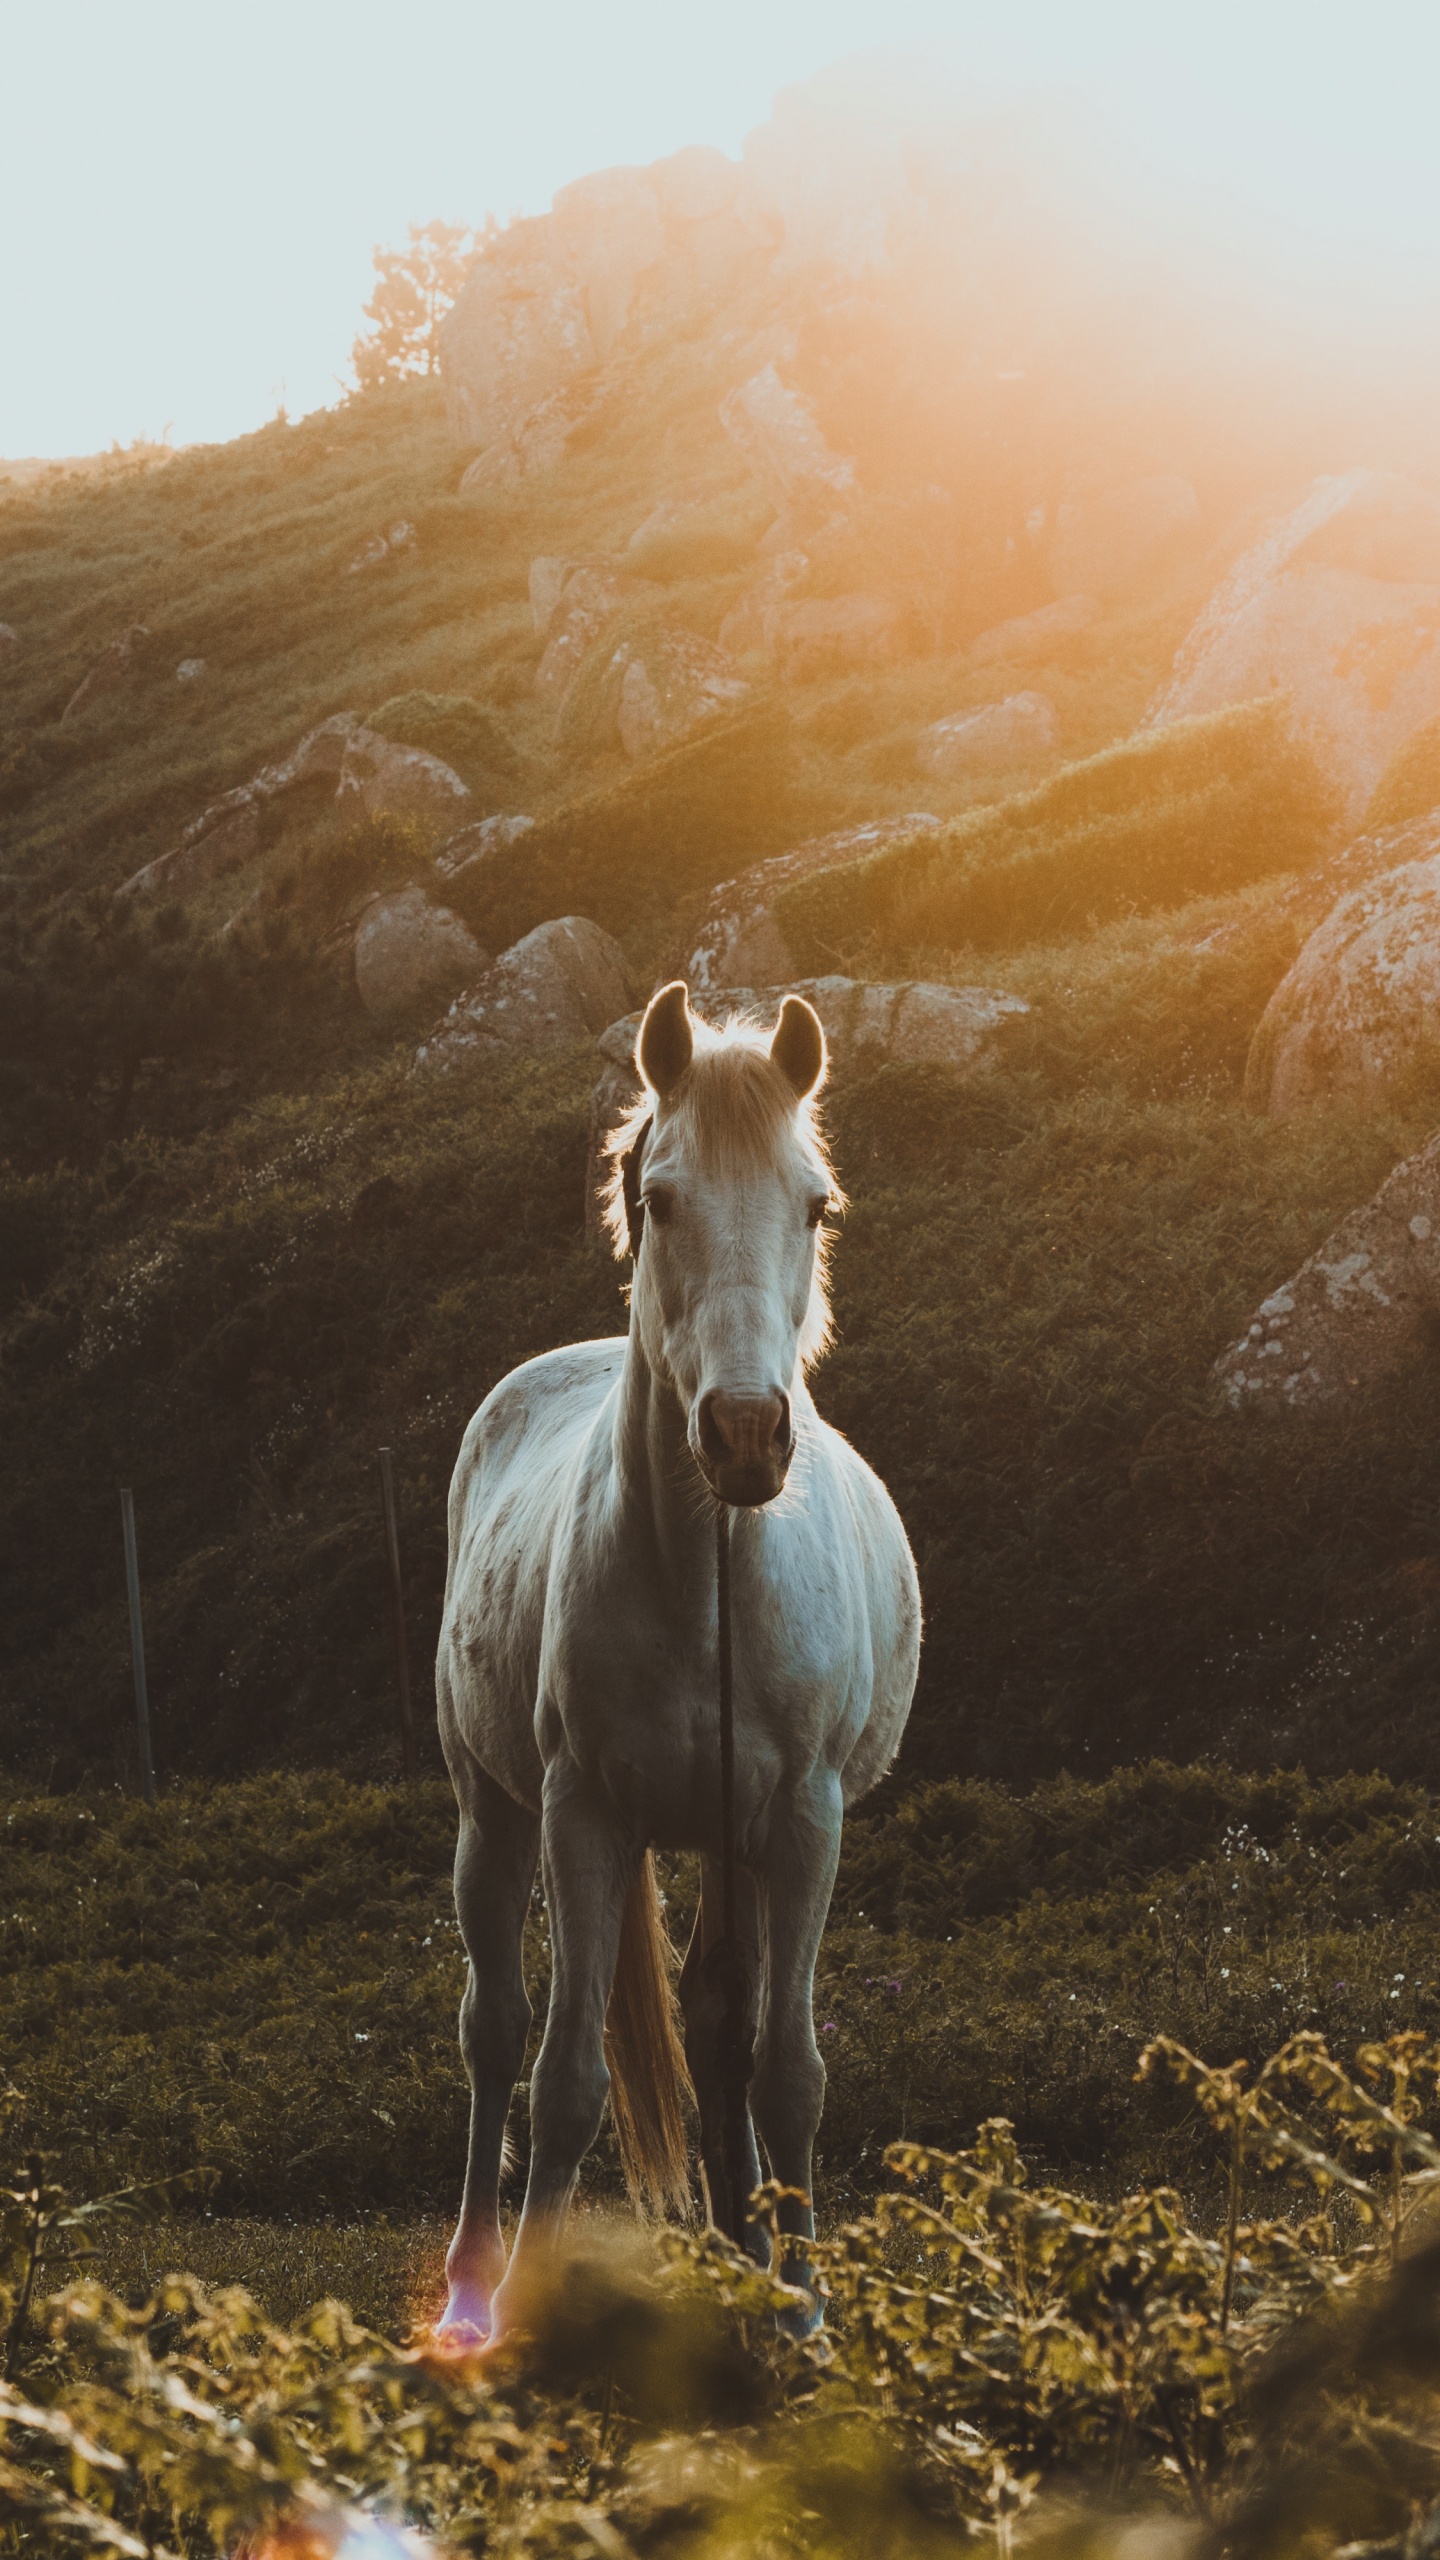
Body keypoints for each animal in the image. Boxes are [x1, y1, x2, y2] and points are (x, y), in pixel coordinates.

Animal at [430, 977, 917, 2344]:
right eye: (659, 1199)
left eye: (816, 1204)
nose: (747, 1434)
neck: (708, 1581)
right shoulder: (583, 1814)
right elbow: (565, 2078)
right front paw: (528, 2316)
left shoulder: (801, 1822)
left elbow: (786, 2069)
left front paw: (802, 2311)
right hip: (492, 1815)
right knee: (495, 2032)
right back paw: (472, 2284)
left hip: (727, 1841)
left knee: (716, 2030)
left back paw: (747, 2262)